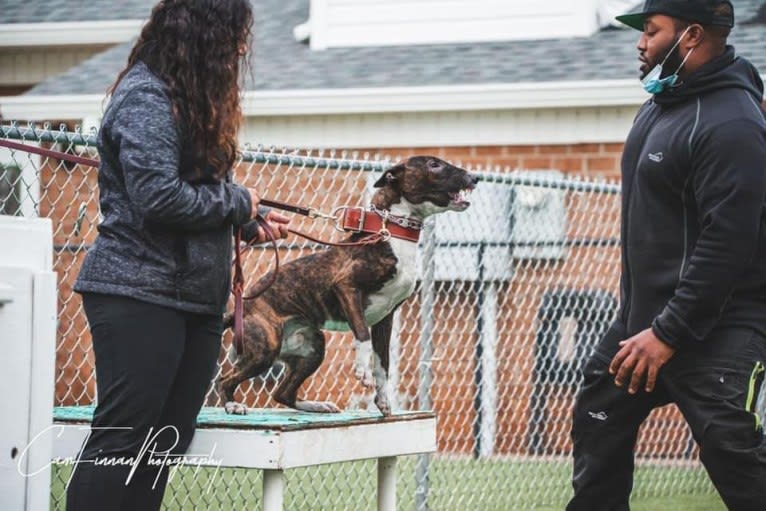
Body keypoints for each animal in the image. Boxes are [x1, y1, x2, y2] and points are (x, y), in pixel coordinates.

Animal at [219, 156, 476, 416]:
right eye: (434, 165)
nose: (474, 177)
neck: (391, 232)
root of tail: (240, 312)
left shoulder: (386, 318)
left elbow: (383, 364)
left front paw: (383, 400)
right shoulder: (346, 288)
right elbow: (362, 334)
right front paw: (362, 370)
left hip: (313, 346)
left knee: (283, 393)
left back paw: (315, 405)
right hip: (266, 348)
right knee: (225, 379)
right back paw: (232, 404)